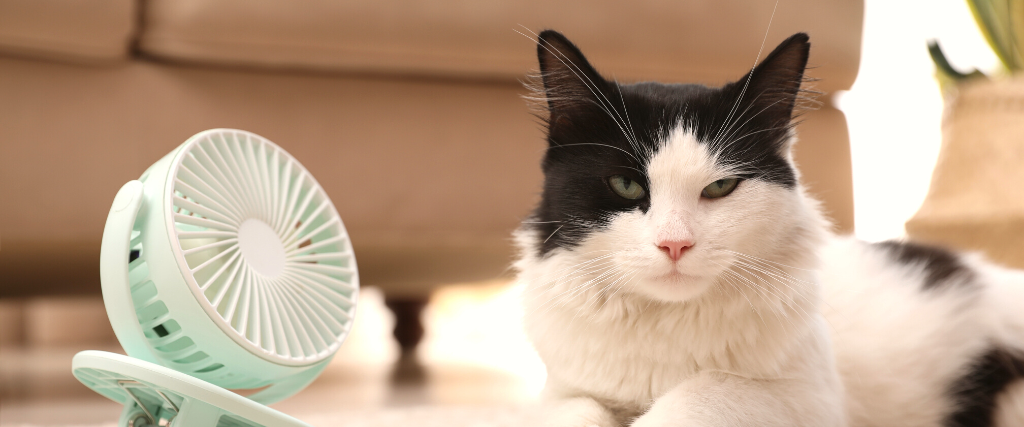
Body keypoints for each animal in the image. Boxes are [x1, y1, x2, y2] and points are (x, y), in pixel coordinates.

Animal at [516, 30, 1024, 425]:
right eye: (626, 185)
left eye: (720, 186)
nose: (675, 244)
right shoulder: (563, 390)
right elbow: (576, 410)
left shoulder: (810, 396)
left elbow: (702, 391)